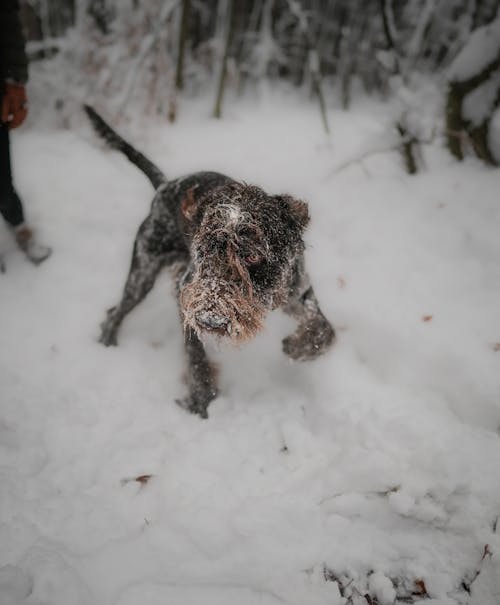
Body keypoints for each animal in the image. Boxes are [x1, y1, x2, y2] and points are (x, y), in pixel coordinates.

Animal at [85, 106, 336, 418]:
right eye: (203, 252)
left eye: (252, 255)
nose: (210, 319)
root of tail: (164, 185)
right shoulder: (186, 297)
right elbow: (196, 360)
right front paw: (200, 402)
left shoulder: (297, 290)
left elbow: (325, 330)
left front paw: (297, 347)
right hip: (142, 272)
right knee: (115, 312)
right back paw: (106, 346)